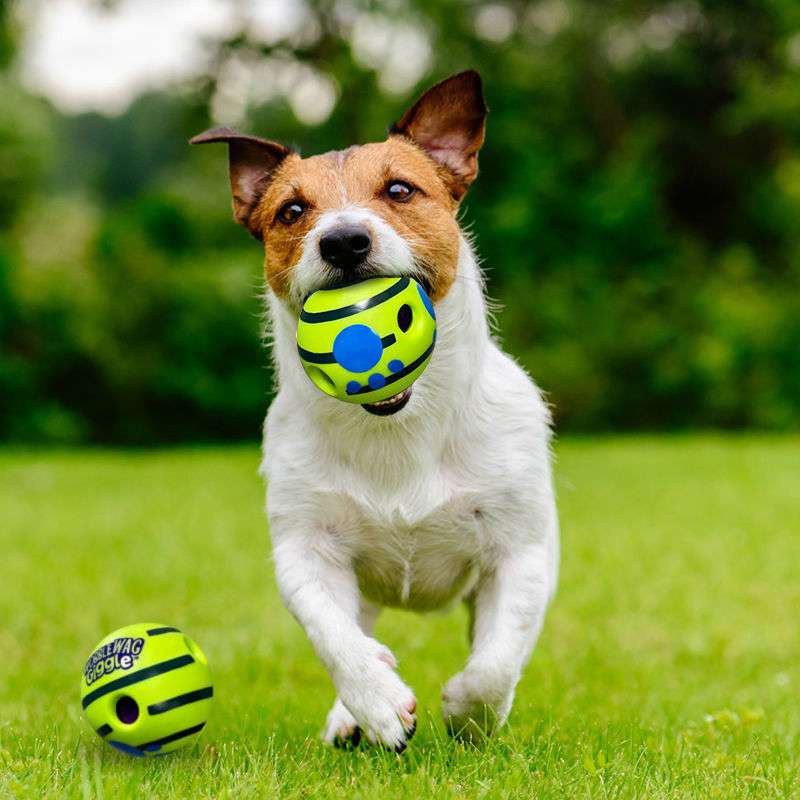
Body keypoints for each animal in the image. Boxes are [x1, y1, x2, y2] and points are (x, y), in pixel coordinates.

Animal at [191, 70, 560, 752]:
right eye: (292, 211)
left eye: (399, 189)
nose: (343, 240)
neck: (396, 428)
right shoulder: (305, 548)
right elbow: (332, 635)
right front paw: (376, 701)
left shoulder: (521, 551)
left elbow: (497, 660)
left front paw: (469, 711)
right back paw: (351, 713)